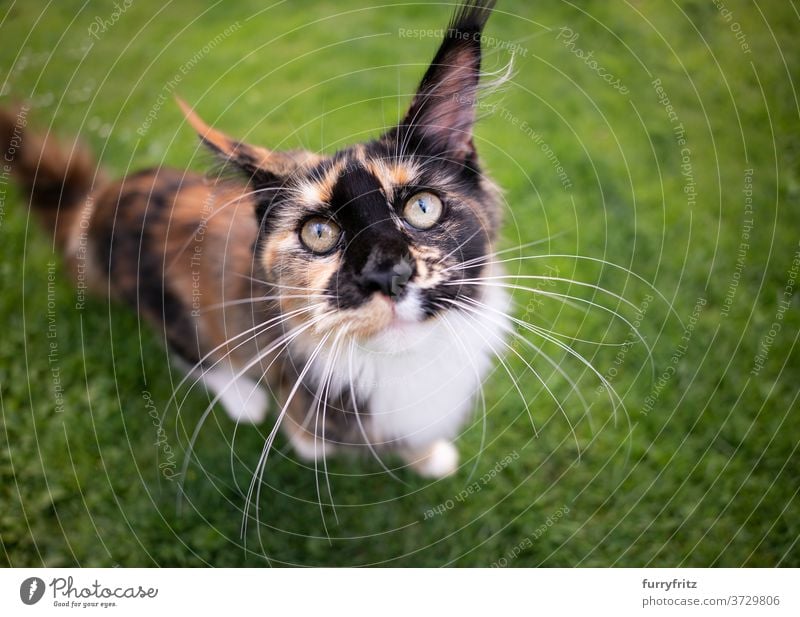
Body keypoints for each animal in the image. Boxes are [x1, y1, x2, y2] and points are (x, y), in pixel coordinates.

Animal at [3, 1, 510, 476]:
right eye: (319, 233)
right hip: (168, 304)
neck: (406, 360)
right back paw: (242, 399)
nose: (386, 275)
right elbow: (319, 440)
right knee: (193, 354)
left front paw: (431, 458)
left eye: (422, 208)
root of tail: (99, 199)